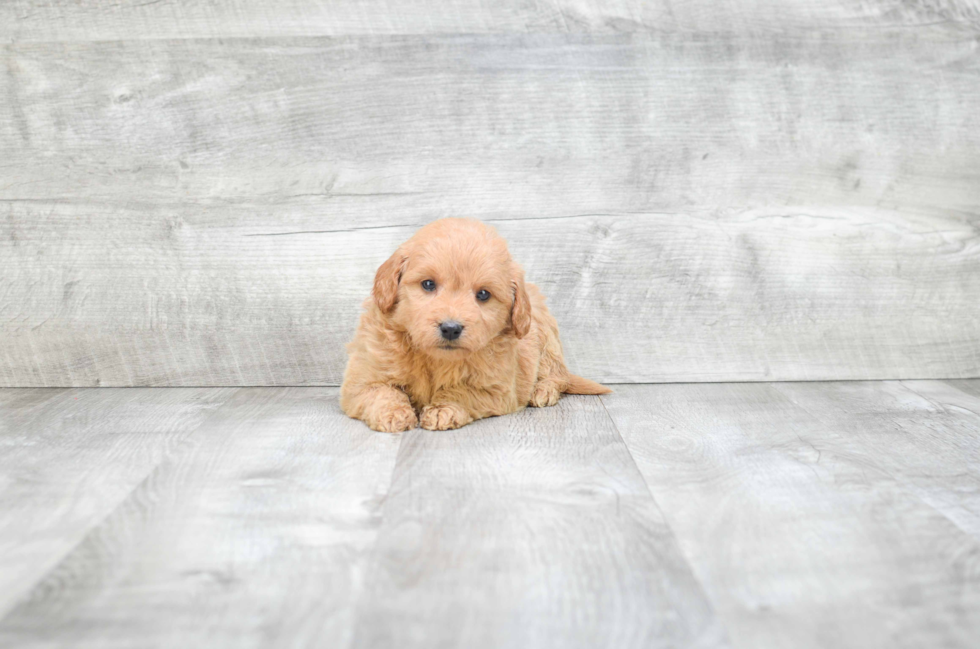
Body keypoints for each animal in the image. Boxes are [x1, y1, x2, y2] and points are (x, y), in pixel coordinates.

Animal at [340, 215, 608, 432]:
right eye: (428, 284)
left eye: (483, 294)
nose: (450, 328)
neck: (435, 360)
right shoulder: (362, 380)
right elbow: (381, 391)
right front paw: (394, 413)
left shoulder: (498, 390)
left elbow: (463, 392)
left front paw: (442, 409)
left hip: (546, 339)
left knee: (558, 376)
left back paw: (543, 390)